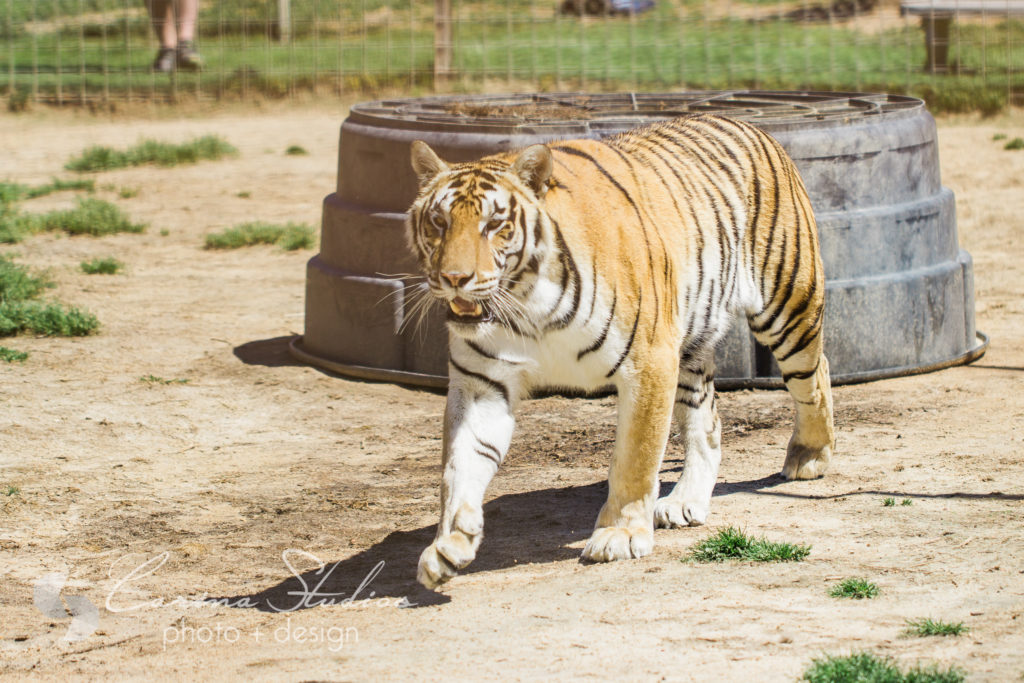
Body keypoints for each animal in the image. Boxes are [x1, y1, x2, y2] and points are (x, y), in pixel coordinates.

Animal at [403, 114, 835, 589]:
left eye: (495, 225)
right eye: (438, 222)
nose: (454, 278)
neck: (529, 304)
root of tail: (748, 124)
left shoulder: (649, 361)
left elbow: (635, 459)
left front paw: (621, 534)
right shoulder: (483, 383)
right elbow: (460, 465)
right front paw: (448, 545)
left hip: (788, 305)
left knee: (816, 373)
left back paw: (809, 456)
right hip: (690, 346)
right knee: (708, 423)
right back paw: (685, 501)